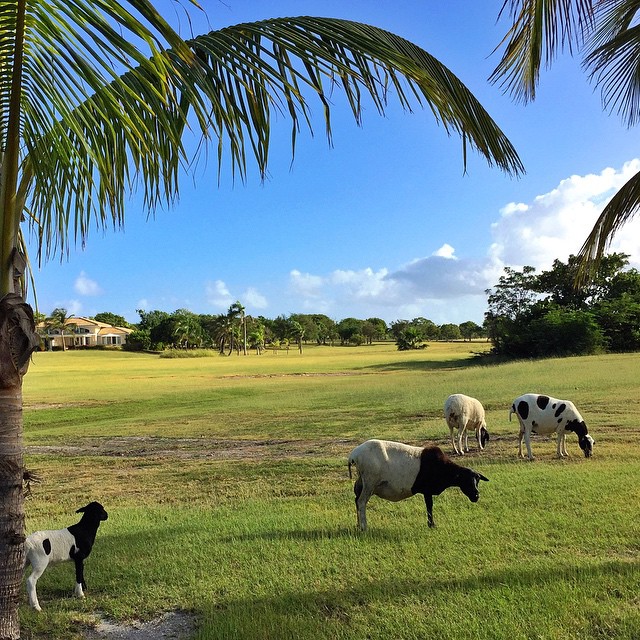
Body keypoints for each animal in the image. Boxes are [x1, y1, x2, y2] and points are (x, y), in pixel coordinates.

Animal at [348, 440, 488, 528]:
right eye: (466, 480)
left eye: (478, 480)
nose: (476, 496)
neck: (443, 468)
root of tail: (353, 455)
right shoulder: (427, 490)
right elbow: (429, 507)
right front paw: (432, 525)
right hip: (369, 482)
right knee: (361, 502)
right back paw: (364, 526)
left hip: (362, 481)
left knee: (356, 500)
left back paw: (358, 525)